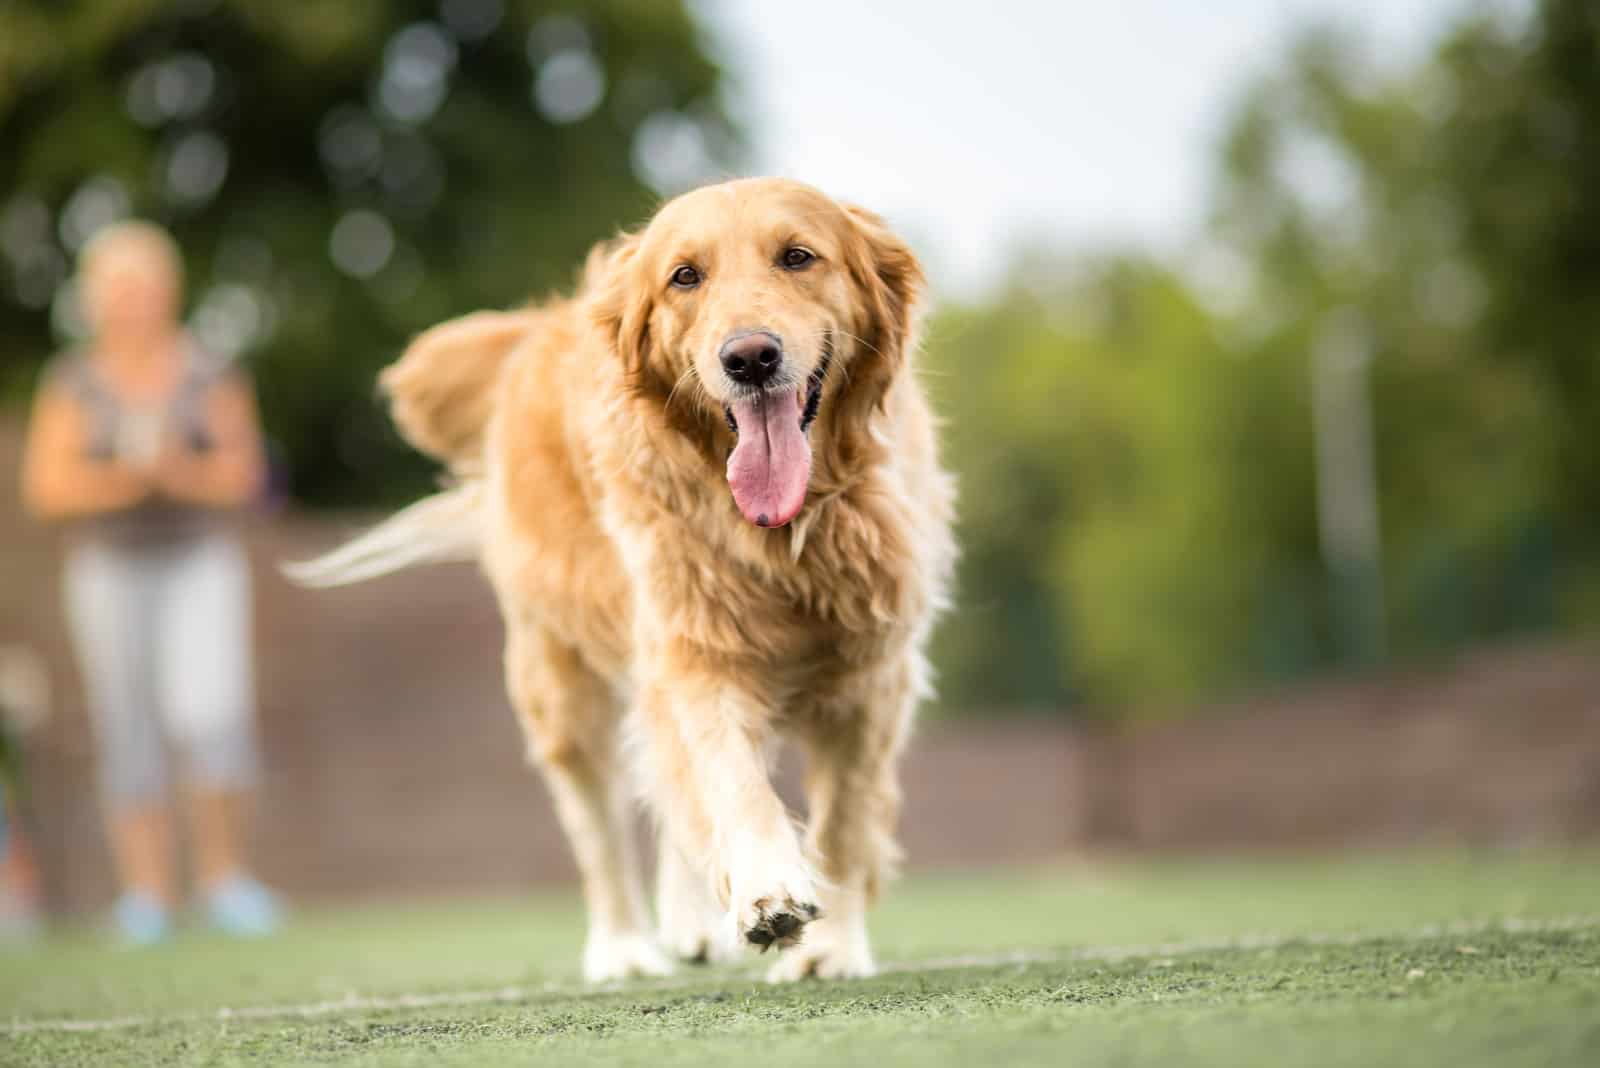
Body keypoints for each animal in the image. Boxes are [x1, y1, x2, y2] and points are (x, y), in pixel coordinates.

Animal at [294, 177, 947, 984]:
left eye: (798, 257)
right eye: (685, 277)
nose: (750, 358)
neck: (783, 534)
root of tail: (541, 325)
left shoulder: (872, 671)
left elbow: (846, 822)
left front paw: (830, 950)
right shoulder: (694, 649)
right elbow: (729, 781)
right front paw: (765, 889)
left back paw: (692, 926)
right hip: (559, 685)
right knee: (600, 828)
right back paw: (625, 949)